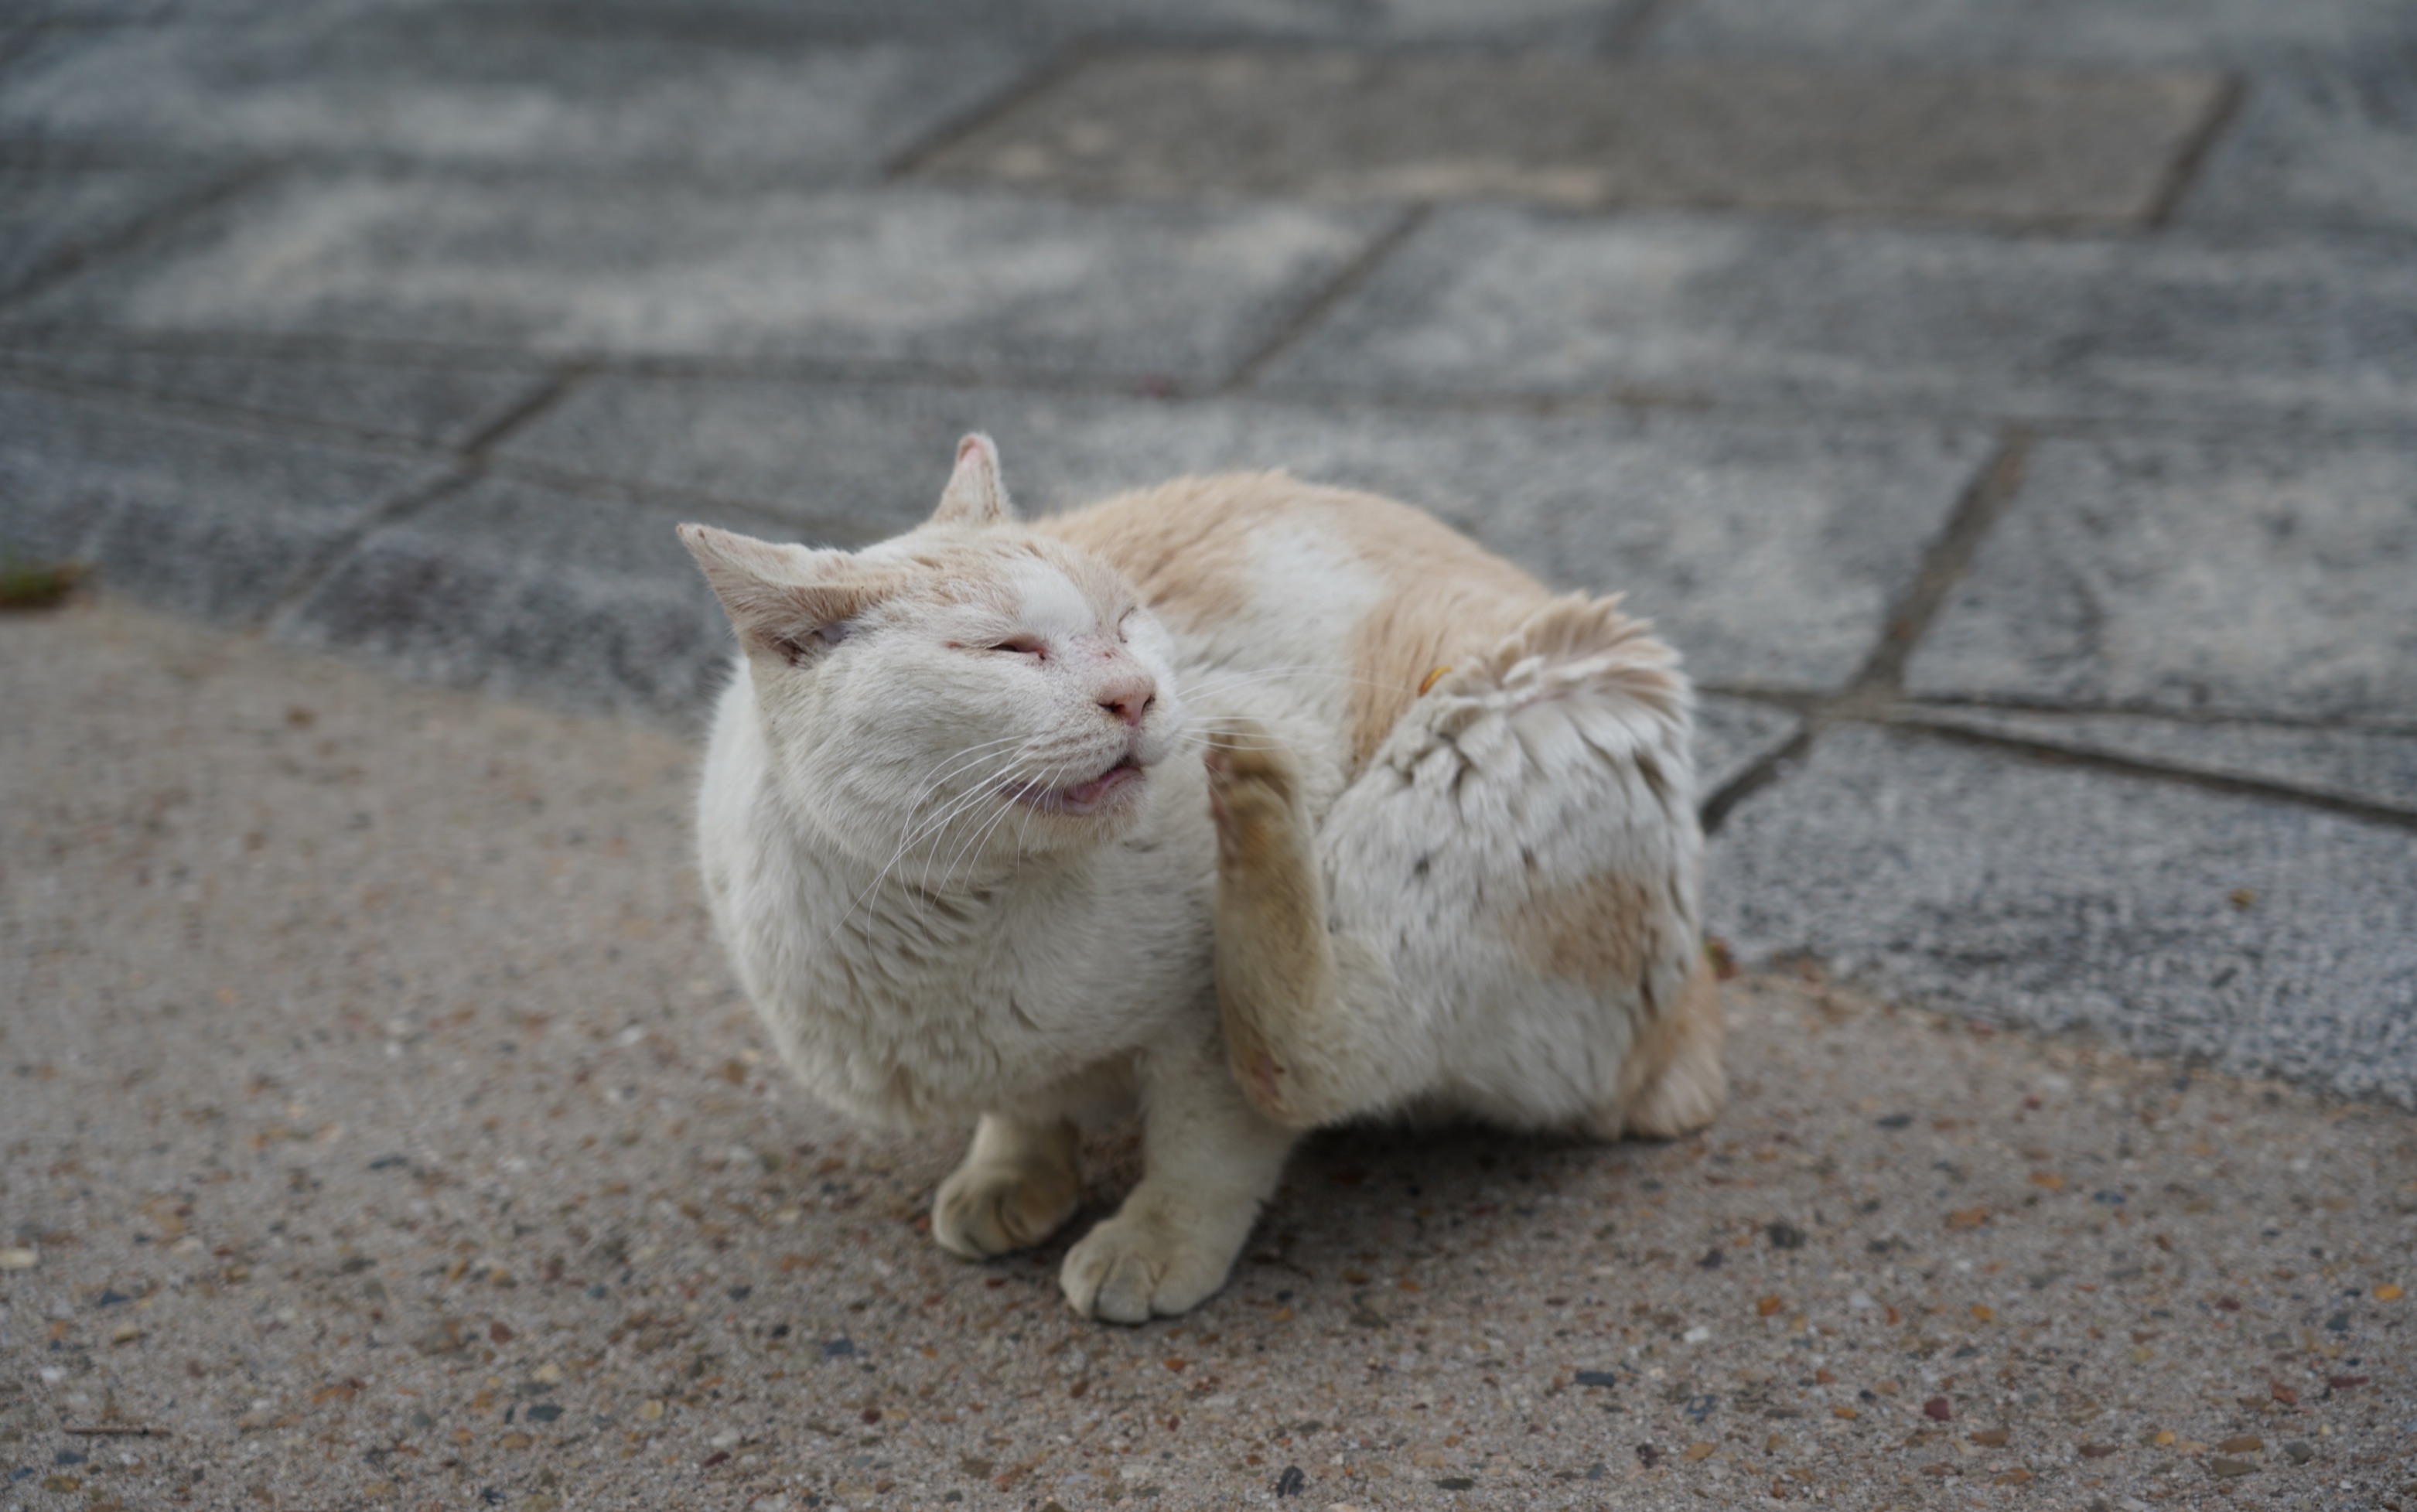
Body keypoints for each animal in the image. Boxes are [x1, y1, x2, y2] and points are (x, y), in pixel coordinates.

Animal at [686, 429, 1721, 1313]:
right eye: (1008, 650)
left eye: (1126, 622)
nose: (1136, 693)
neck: (950, 917)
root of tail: (1686, 1024)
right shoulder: (999, 1057)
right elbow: (1020, 1106)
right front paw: (1009, 1172)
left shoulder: (1193, 1029)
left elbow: (1204, 1148)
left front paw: (1150, 1244)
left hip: (1502, 717)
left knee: (1315, 1054)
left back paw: (1258, 801)